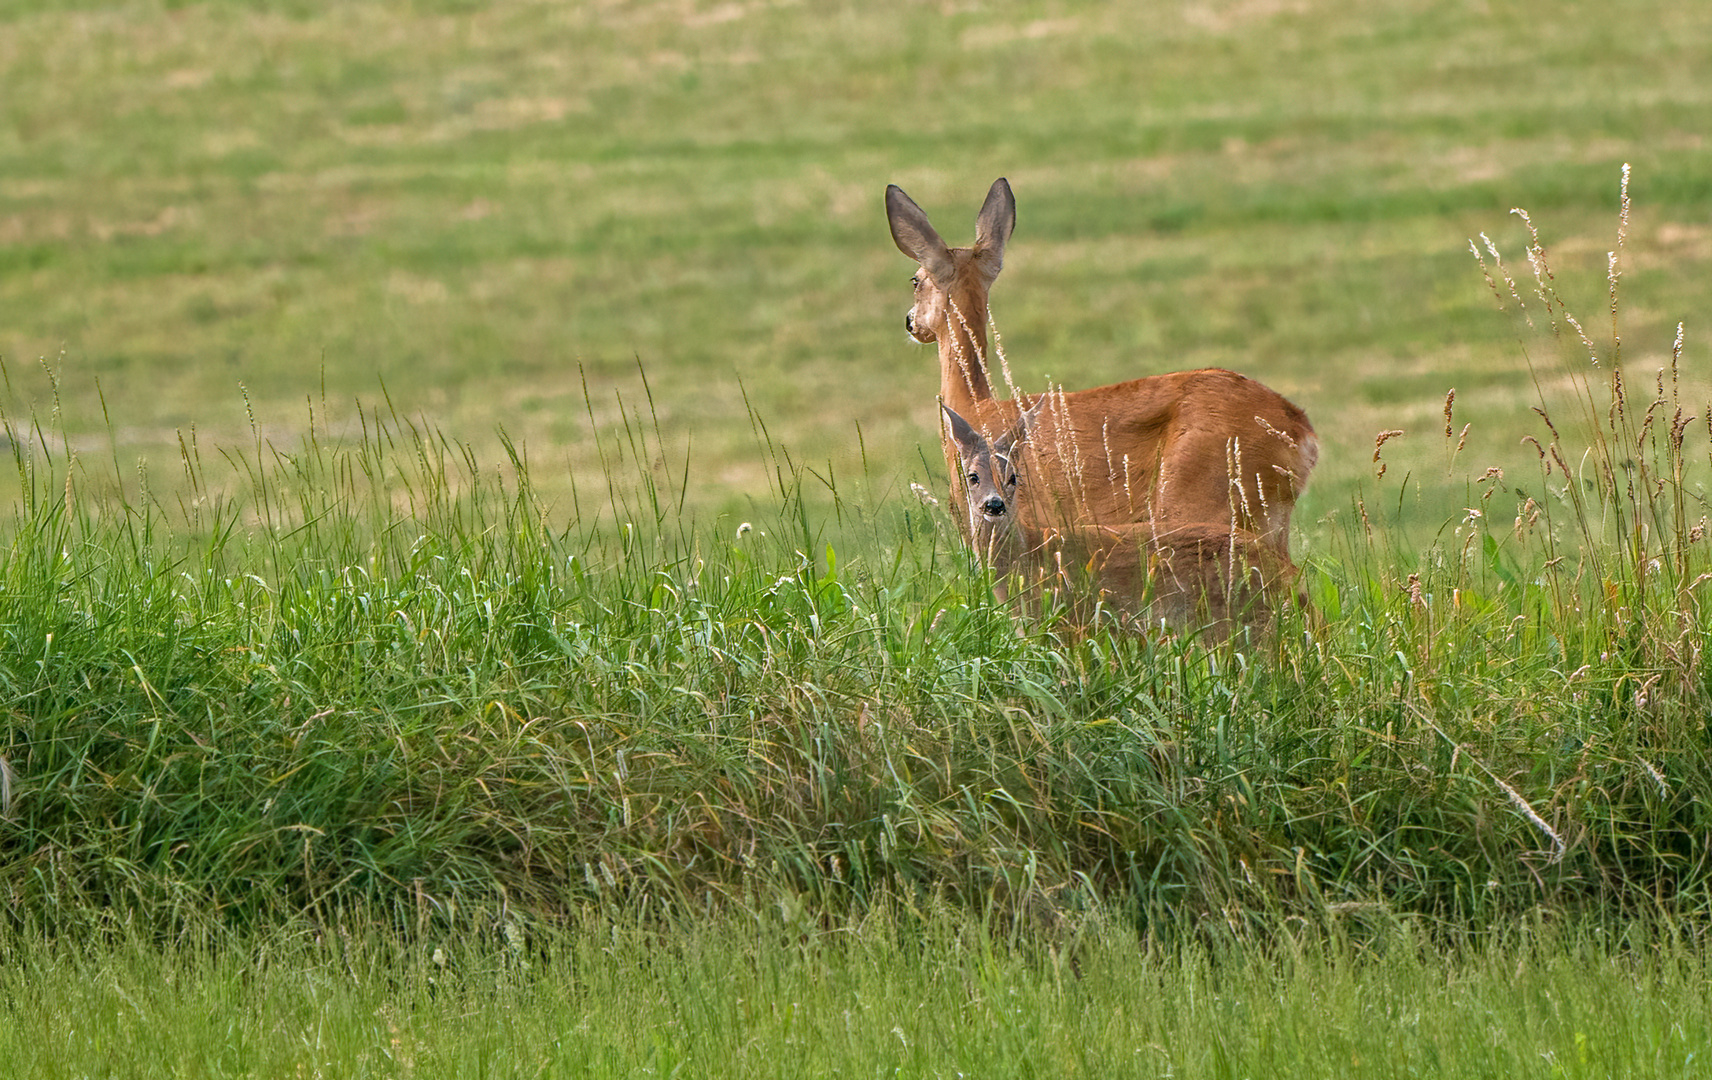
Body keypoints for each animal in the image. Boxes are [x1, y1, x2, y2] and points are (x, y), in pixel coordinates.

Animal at [938, 398, 1294, 633]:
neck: (1026, 556)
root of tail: (1286, 575)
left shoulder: (1059, 619)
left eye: (1013, 477)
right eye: (972, 476)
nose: (994, 505)